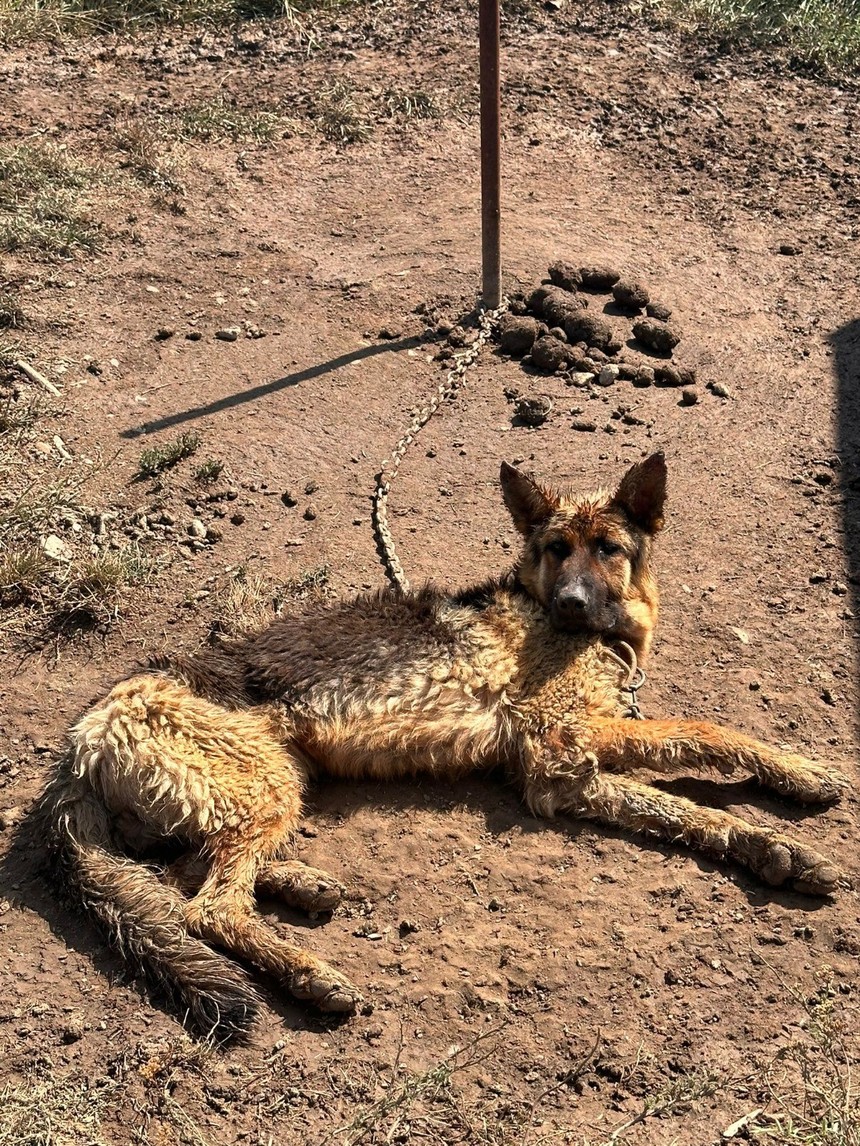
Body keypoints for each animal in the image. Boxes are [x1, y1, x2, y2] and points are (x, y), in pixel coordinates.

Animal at [43, 453, 853, 1040]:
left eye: (608, 549)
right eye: (556, 549)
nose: (571, 605)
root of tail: (83, 735)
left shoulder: (567, 775)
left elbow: (692, 810)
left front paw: (777, 848)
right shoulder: (563, 748)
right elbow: (712, 734)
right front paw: (801, 774)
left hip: (267, 787)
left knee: (186, 873)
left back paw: (302, 884)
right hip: (266, 788)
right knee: (206, 910)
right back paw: (310, 973)